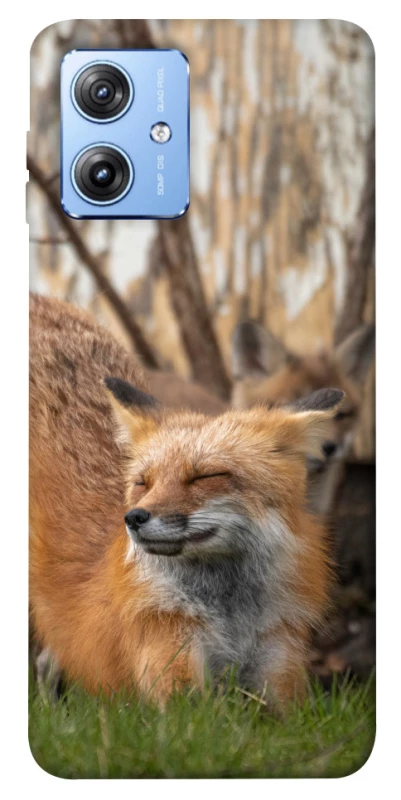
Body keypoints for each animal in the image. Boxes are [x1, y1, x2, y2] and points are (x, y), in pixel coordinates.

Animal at [30, 293, 344, 708]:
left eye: (204, 476)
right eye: (142, 483)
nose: (134, 518)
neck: (229, 617)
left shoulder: (280, 667)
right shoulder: (172, 668)